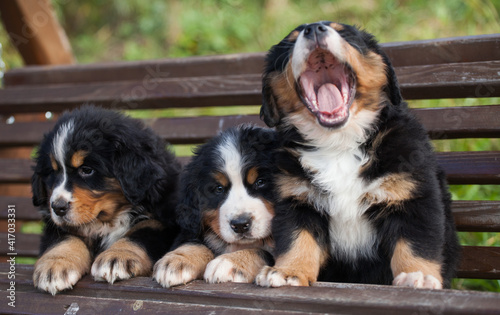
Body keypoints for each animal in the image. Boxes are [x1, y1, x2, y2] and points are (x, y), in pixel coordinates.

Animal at [31, 107, 180, 296]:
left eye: (87, 170)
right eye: (52, 172)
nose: (58, 207)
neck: (108, 220)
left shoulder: (161, 221)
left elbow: (139, 234)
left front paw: (117, 257)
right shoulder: (57, 225)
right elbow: (63, 240)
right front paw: (54, 266)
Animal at [153, 124, 278, 288]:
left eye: (261, 182)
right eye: (219, 189)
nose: (240, 225)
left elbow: (262, 252)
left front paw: (229, 262)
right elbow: (194, 243)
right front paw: (176, 261)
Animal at [256, 21, 458, 290]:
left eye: (344, 33)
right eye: (291, 41)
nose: (314, 29)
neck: (339, 144)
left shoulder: (413, 197)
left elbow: (416, 244)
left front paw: (418, 275)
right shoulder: (297, 200)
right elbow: (297, 239)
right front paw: (289, 271)